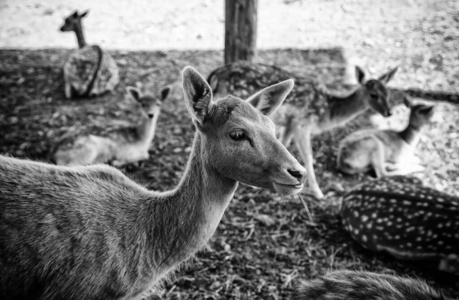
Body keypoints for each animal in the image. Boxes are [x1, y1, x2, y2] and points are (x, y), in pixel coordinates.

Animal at [207, 60, 398, 199]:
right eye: (374, 95)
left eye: (389, 93)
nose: (389, 112)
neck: (326, 112)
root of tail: (214, 75)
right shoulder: (303, 123)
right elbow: (308, 156)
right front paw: (319, 193)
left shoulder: (290, 124)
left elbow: (283, 143)